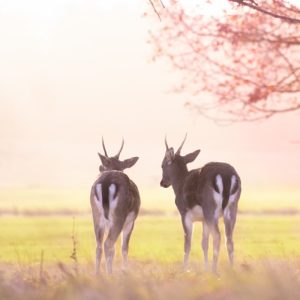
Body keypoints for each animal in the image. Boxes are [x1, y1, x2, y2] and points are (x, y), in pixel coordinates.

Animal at [89, 138, 140, 274]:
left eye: (102, 166)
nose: (100, 168)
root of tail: (106, 182)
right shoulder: (131, 221)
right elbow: (124, 247)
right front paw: (125, 270)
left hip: (96, 216)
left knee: (99, 246)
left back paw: (97, 274)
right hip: (118, 217)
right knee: (108, 244)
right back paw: (110, 274)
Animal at [159, 135, 241, 274]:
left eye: (163, 165)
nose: (162, 182)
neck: (181, 183)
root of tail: (226, 175)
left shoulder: (185, 214)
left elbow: (188, 242)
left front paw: (184, 269)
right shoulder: (203, 220)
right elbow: (204, 243)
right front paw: (205, 269)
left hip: (211, 211)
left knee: (217, 236)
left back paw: (214, 271)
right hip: (232, 210)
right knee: (229, 239)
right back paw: (231, 270)